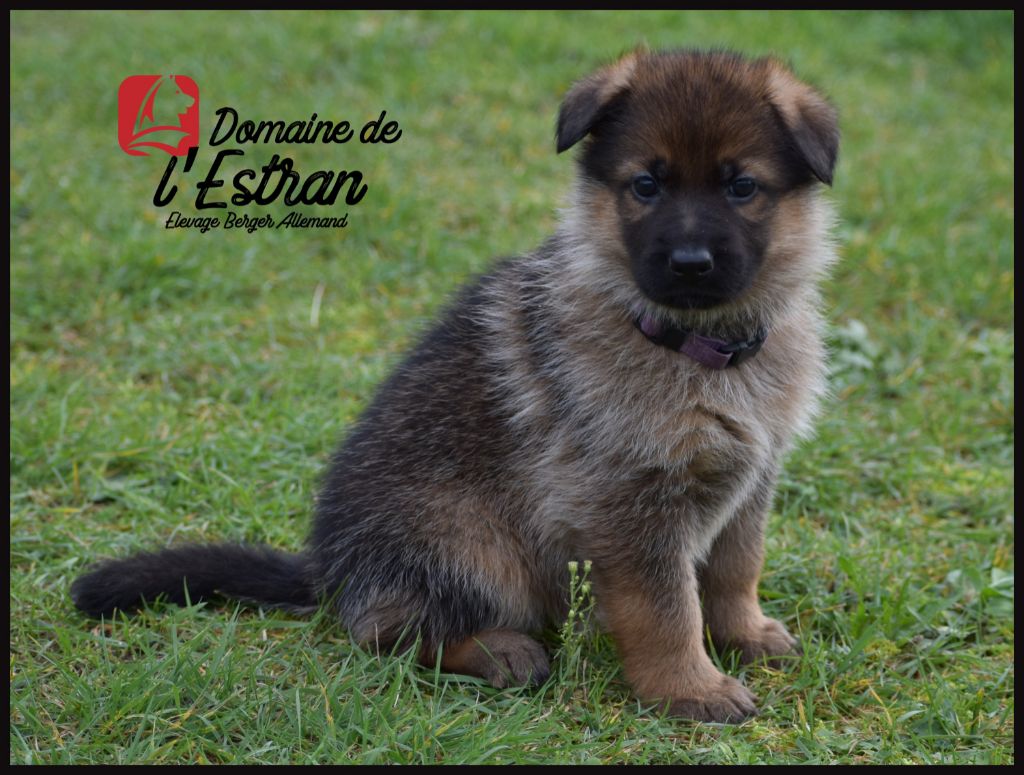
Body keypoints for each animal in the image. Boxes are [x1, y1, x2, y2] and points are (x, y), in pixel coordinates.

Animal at [72, 48, 839, 723]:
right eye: (645, 186)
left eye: (742, 187)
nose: (689, 261)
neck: (697, 344)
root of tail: (330, 570)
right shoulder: (629, 503)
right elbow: (665, 608)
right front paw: (690, 688)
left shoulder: (749, 481)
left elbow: (735, 568)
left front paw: (744, 635)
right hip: (473, 546)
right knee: (386, 631)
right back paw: (500, 652)